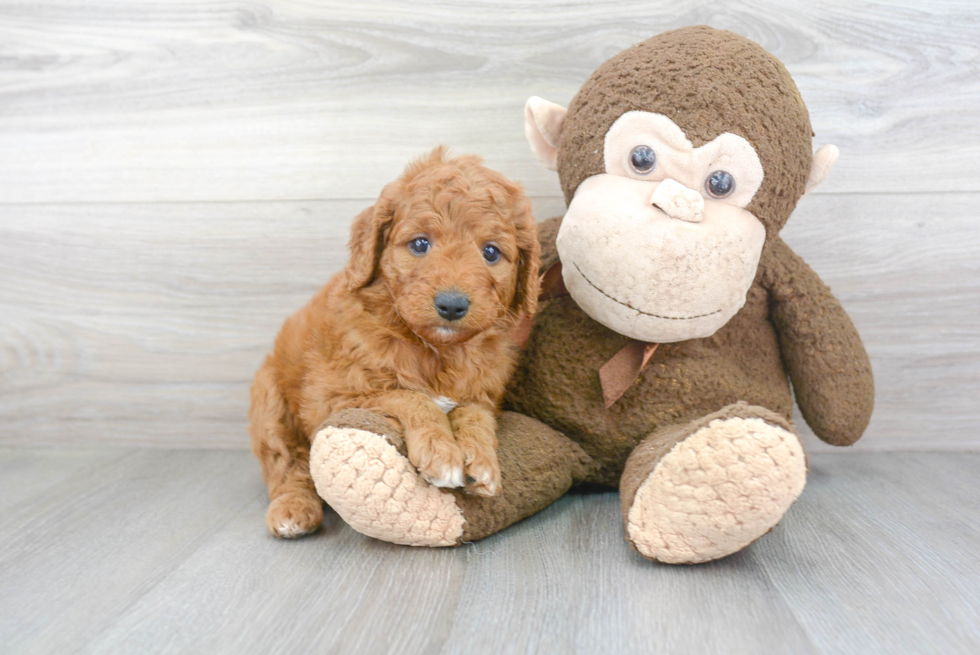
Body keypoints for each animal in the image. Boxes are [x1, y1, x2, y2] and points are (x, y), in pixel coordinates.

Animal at [249, 149, 540, 540]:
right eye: (420, 244)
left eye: (491, 253)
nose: (451, 305)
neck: (436, 351)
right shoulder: (333, 395)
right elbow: (409, 396)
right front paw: (441, 453)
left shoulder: (482, 393)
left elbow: (473, 414)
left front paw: (480, 459)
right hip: (269, 401)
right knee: (286, 462)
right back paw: (292, 510)